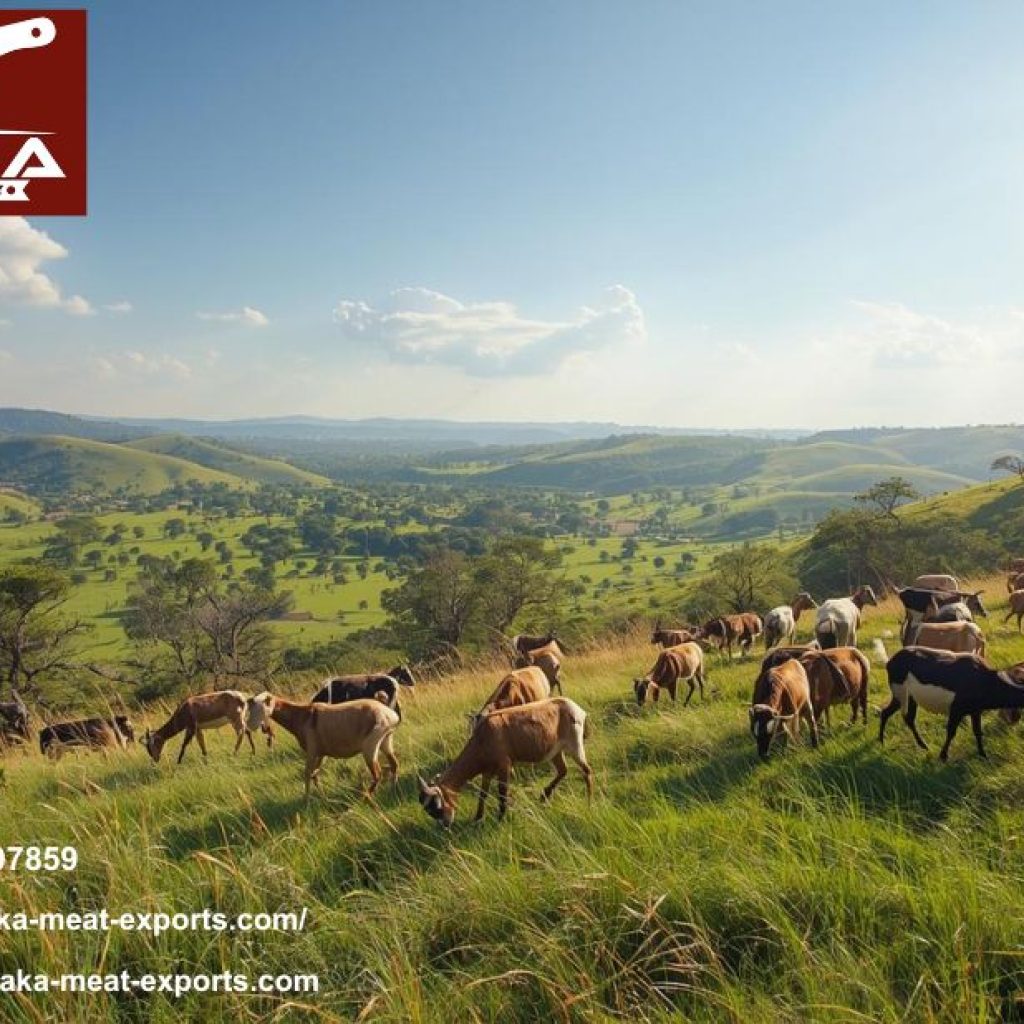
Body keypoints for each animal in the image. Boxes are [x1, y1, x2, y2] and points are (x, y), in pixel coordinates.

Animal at [142, 691, 272, 765]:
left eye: (152, 745)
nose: (155, 760)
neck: (185, 708)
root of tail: (244, 697)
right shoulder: (197, 729)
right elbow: (202, 745)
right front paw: (206, 761)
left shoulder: (191, 728)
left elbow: (184, 745)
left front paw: (178, 763)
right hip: (239, 720)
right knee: (247, 731)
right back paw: (252, 752)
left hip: (235, 720)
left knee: (242, 733)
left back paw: (234, 754)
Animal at [247, 694, 399, 798]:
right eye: (251, 708)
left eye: (262, 707)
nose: (250, 726)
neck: (302, 716)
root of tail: (390, 715)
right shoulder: (321, 754)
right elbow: (315, 774)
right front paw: (321, 795)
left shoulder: (312, 752)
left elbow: (307, 773)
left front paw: (306, 800)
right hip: (386, 740)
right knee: (394, 764)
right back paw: (392, 789)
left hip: (370, 747)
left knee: (378, 774)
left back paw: (365, 797)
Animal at [418, 697, 592, 826]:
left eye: (437, 806)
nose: (446, 824)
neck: (484, 737)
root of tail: (577, 709)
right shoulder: (487, 771)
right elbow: (483, 794)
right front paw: (478, 818)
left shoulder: (504, 766)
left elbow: (502, 793)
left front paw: (500, 819)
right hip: (555, 751)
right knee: (563, 771)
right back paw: (544, 796)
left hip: (574, 744)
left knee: (586, 770)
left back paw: (589, 802)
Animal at [879, 647, 1024, 760]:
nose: (1015, 719)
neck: (984, 679)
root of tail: (890, 661)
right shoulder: (956, 710)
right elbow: (951, 732)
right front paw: (943, 756)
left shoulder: (975, 711)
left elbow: (977, 731)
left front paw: (983, 755)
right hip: (901, 694)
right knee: (897, 715)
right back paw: (884, 742)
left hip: (910, 698)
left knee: (895, 715)